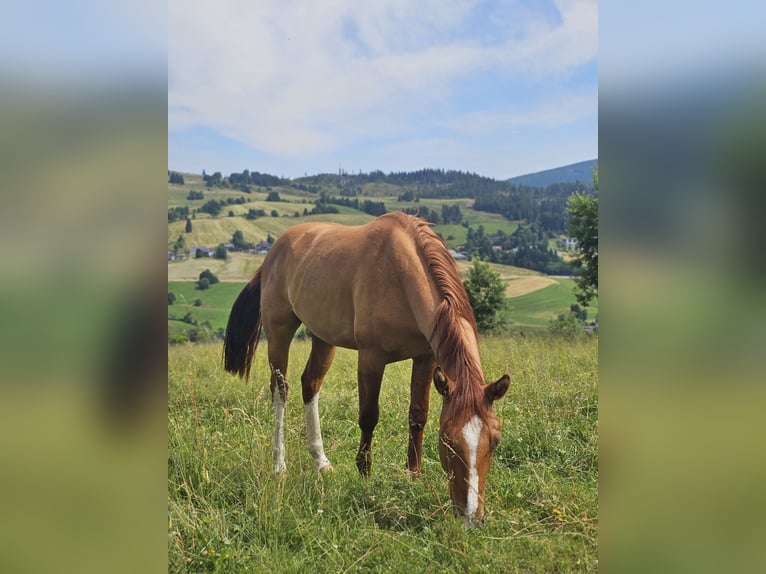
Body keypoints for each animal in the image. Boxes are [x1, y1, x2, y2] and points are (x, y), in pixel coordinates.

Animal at [223, 212, 509, 524]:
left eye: (495, 440)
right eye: (447, 441)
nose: (471, 516)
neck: (401, 274)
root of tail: (275, 251)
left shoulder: (425, 358)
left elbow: (418, 416)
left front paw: (413, 475)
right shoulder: (371, 357)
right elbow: (369, 416)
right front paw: (364, 473)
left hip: (323, 337)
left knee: (310, 384)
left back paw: (321, 462)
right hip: (279, 332)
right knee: (280, 391)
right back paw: (280, 466)